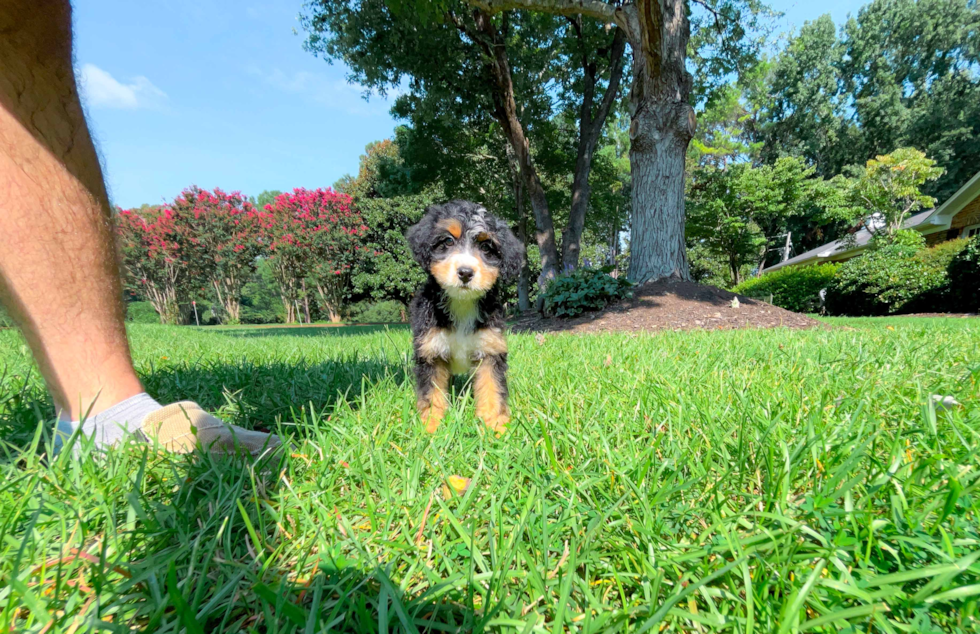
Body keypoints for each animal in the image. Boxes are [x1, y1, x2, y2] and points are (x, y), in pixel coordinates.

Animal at [408, 200, 528, 432]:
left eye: (486, 247)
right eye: (448, 240)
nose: (465, 272)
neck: (462, 304)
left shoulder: (490, 349)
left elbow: (492, 389)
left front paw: (494, 427)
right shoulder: (431, 350)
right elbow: (432, 394)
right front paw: (431, 427)